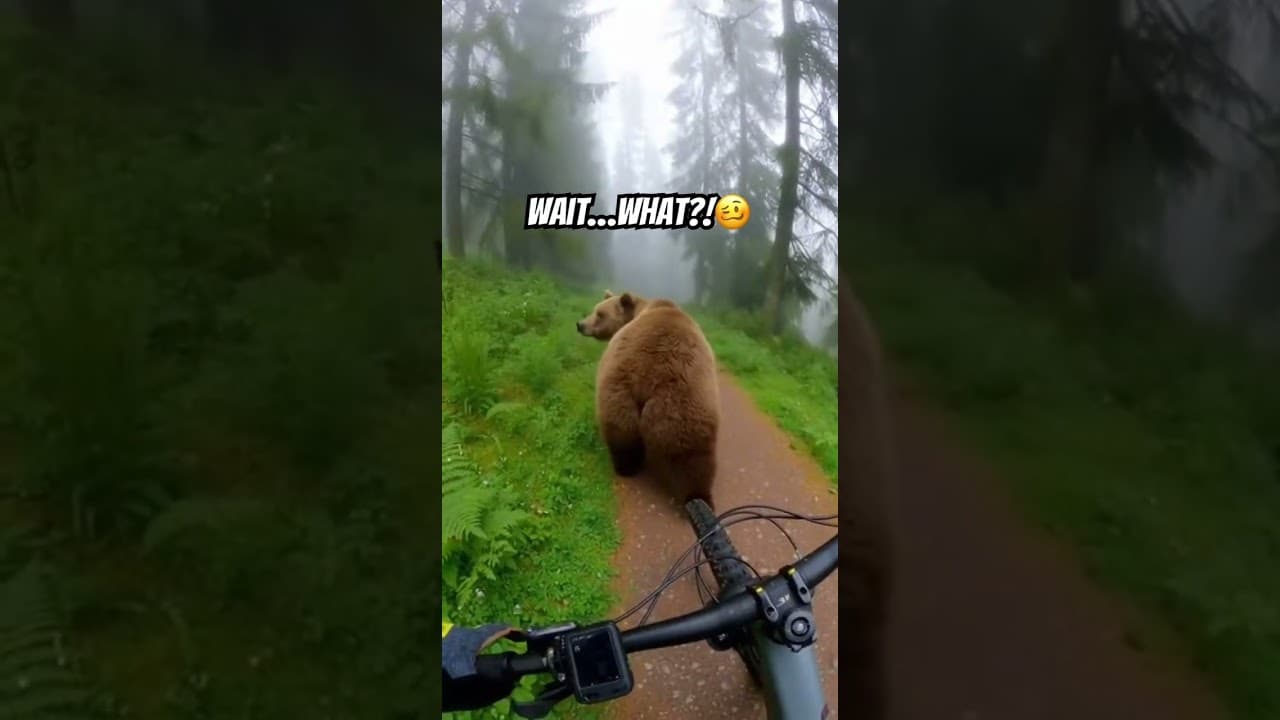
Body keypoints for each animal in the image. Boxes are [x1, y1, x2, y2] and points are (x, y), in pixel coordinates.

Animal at [576, 290, 719, 507]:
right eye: (595, 309)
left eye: (600, 314)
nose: (580, 324)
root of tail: (650, 376)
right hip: (634, 395)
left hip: (668, 400)